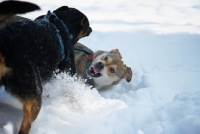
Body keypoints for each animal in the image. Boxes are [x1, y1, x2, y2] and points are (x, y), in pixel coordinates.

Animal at [0, 0, 92, 133]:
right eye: (87, 25)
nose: (91, 28)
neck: (61, 23)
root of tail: (5, 43)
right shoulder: (67, 73)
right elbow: (72, 95)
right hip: (34, 96)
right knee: (26, 124)